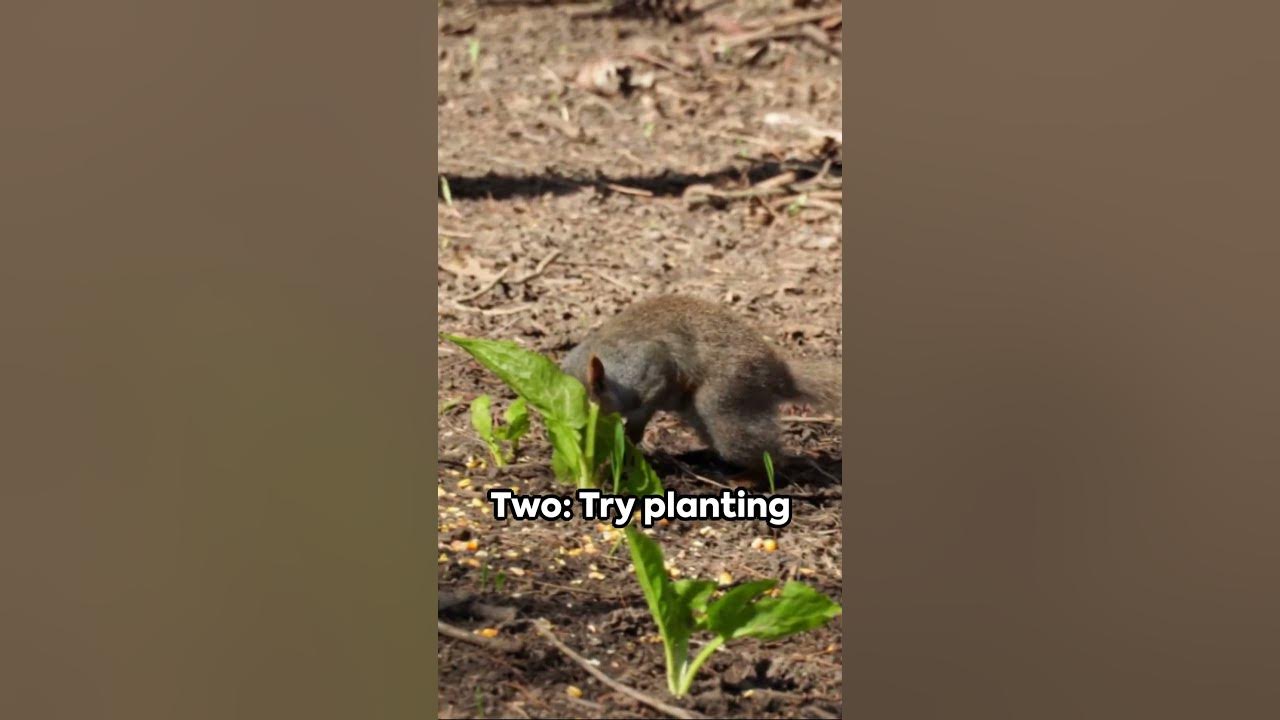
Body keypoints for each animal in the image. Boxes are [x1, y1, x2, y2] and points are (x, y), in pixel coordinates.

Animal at [560, 294, 840, 486]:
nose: (580, 448)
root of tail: (778, 374)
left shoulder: (649, 365)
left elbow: (650, 397)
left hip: (723, 396)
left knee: (770, 457)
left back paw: (747, 478)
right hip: (698, 412)